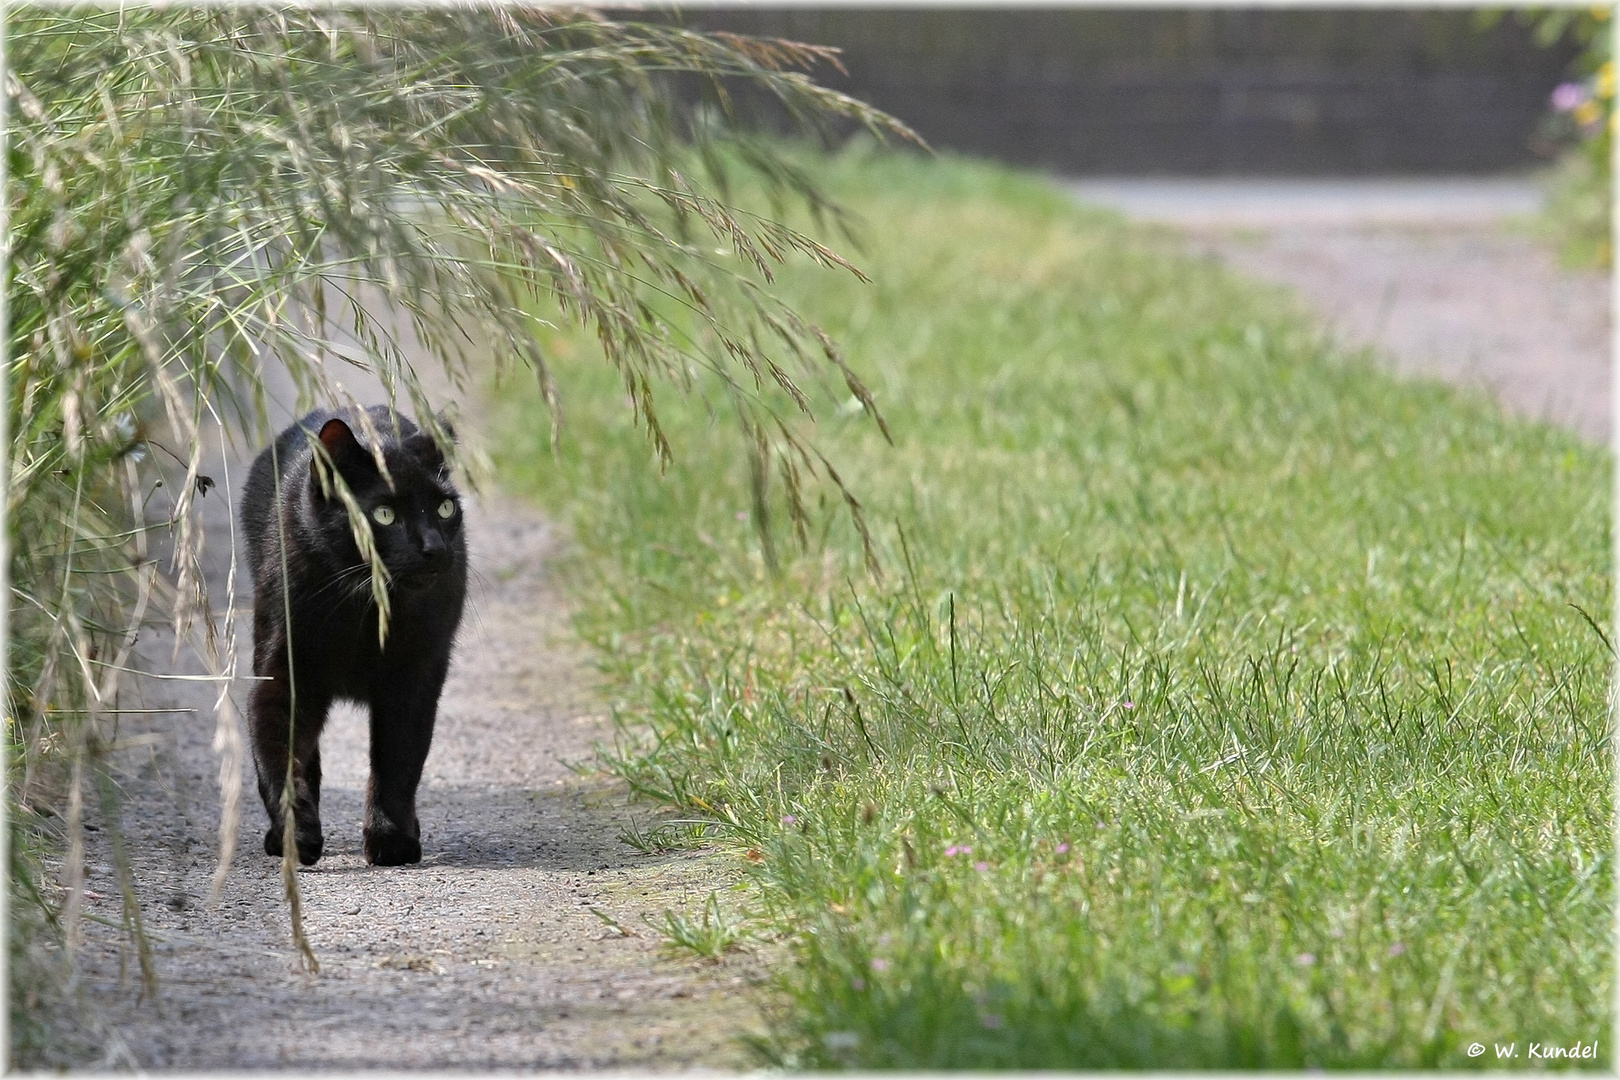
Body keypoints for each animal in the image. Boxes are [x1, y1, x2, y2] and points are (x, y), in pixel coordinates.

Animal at [241, 408, 469, 867]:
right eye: (384, 515)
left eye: (445, 507)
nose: (434, 548)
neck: (363, 611)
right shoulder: (282, 676)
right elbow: (278, 759)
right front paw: (297, 833)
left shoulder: (413, 680)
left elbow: (398, 762)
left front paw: (391, 842)